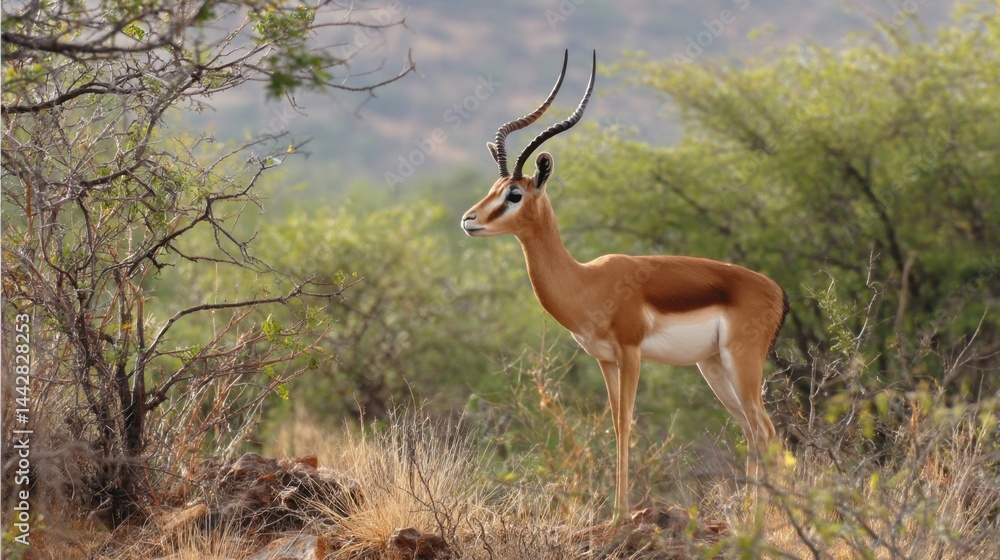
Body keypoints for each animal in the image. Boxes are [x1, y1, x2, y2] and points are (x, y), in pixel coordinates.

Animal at [460, 50, 789, 518]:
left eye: (515, 194)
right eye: (494, 187)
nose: (469, 220)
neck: (587, 281)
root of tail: (777, 291)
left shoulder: (631, 353)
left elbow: (627, 424)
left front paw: (620, 513)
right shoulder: (606, 359)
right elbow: (615, 425)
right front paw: (616, 511)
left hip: (741, 361)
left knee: (766, 429)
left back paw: (764, 521)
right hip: (712, 366)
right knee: (753, 430)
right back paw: (751, 516)